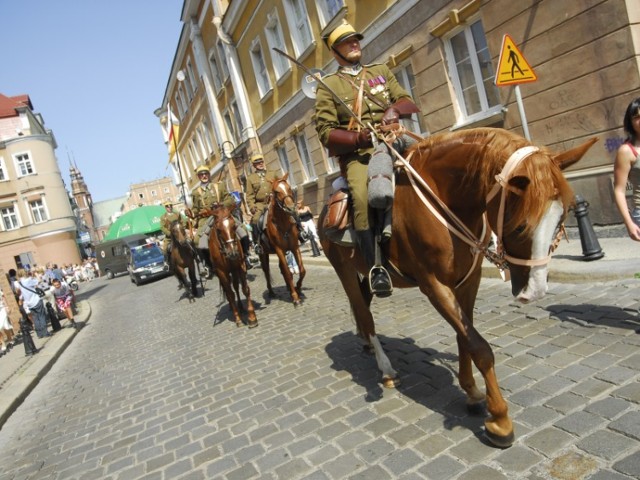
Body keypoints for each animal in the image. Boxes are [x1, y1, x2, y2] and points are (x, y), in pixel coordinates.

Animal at [255, 174, 304, 306]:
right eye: (277, 192)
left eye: (289, 187)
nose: (291, 208)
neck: (282, 223)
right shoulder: (279, 250)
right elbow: (287, 272)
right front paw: (295, 297)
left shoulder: (294, 247)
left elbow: (301, 270)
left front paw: (297, 288)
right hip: (264, 254)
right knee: (267, 271)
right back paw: (272, 292)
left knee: (281, 268)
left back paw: (289, 288)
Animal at [318, 126, 596, 446]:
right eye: (520, 227)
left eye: (563, 218)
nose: (535, 291)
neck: (444, 197)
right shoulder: (434, 285)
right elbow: (479, 347)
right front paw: (500, 420)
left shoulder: (467, 281)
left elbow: (464, 335)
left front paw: (472, 392)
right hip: (344, 270)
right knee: (364, 313)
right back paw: (385, 369)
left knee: (362, 304)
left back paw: (365, 343)